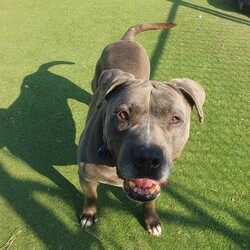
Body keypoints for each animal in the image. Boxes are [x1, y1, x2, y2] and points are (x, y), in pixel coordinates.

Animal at [77, 22, 205, 236]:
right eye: (122, 115)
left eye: (175, 119)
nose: (148, 159)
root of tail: (126, 40)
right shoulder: (86, 176)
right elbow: (91, 196)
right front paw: (89, 213)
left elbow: (150, 201)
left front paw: (151, 220)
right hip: (97, 78)